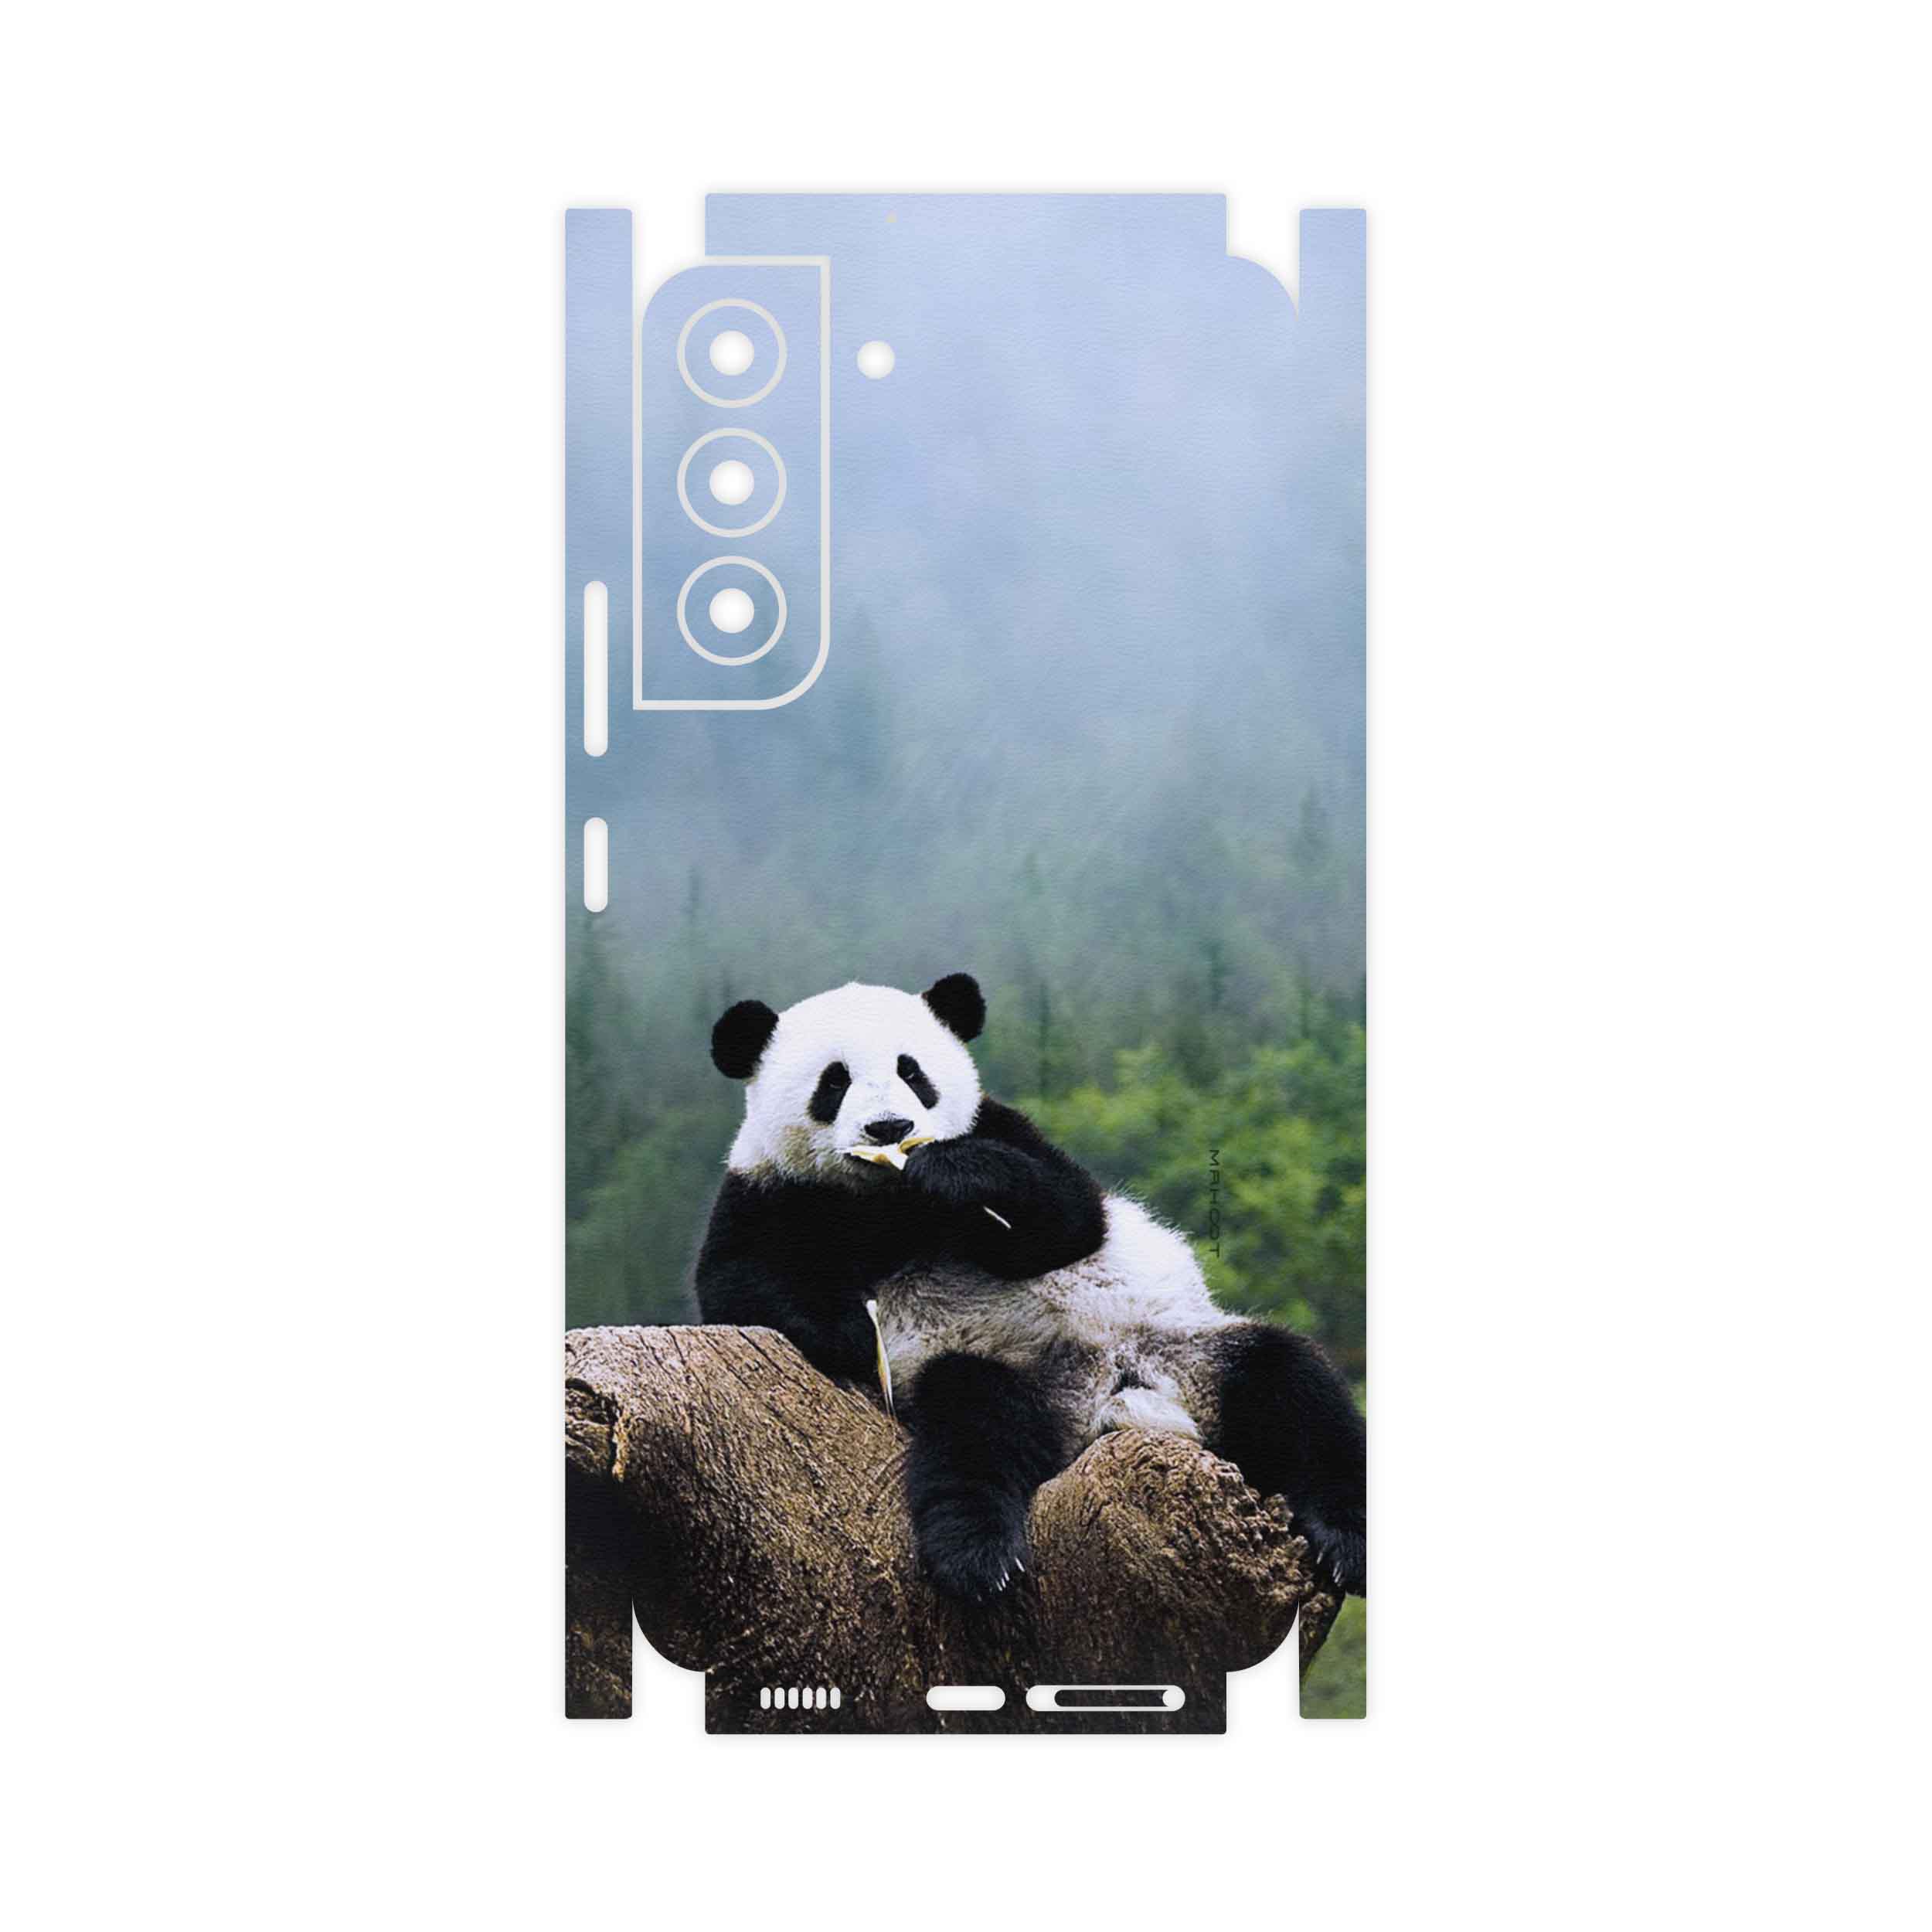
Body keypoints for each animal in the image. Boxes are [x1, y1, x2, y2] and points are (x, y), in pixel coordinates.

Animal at [694, 973, 1366, 1603]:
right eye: (833, 1082)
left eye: (912, 1072)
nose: (890, 1127)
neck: (888, 1200)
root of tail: (1109, 1399)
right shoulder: (769, 1191)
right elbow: (737, 1282)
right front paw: (855, 1332)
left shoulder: (1003, 1128)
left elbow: (1069, 1218)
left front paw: (954, 1174)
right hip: (1005, 1372)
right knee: (974, 1427)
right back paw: (980, 1555)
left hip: (1186, 1349)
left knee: (1293, 1387)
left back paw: (1346, 1541)